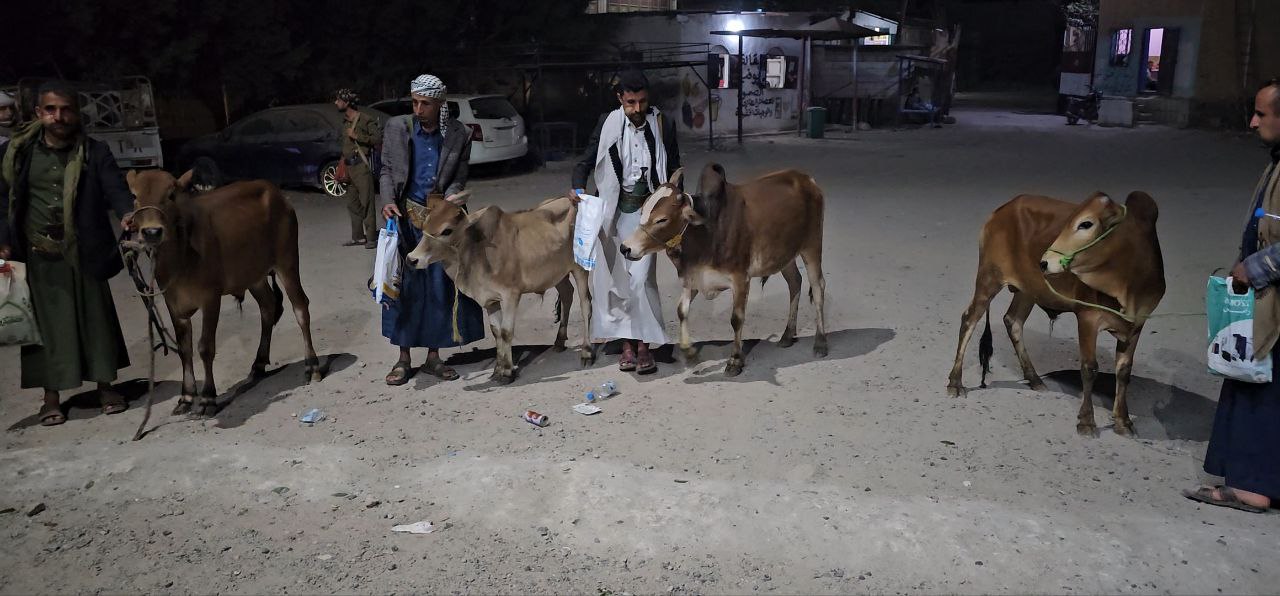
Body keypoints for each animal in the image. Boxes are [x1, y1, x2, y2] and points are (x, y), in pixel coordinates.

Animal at [126, 169, 322, 416]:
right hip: (253, 275)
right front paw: (186, 396)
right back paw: (258, 363)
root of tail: (276, 193)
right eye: (134, 196)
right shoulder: (173, 303)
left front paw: (208, 398)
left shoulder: (211, 298)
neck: (180, 257)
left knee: (300, 308)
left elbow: (205, 347)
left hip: (287, 261)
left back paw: (312, 366)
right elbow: (184, 349)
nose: (152, 231)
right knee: (268, 307)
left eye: (171, 195)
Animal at [404, 192, 593, 383]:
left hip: (580, 268)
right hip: (556, 273)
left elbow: (506, 332)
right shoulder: (490, 300)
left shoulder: (511, 295)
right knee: (567, 295)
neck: (477, 250)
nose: (412, 259)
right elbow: (496, 332)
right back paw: (559, 342)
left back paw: (587, 352)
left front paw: (508, 372)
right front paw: (498, 369)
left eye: (446, 231)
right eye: (425, 225)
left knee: (586, 305)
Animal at [619, 164, 827, 376]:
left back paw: (820, 343)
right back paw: (787, 335)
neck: (707, 232)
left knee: (818, 287)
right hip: (785, 256)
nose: (626, 248)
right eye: (642, 211)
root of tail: (806, 178)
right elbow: (681, 311)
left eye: (661, 220)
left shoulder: (741, 279)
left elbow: (736, 319)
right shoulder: (694, 278)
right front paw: (689, 353)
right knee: (795, 283)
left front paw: (735, 360)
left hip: (812, 246)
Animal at [946, 191, 1165, 436]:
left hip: (1028, 290)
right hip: (989, 278)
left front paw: (1123, 421)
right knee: (969, 319)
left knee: (1013, 321)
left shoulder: (1137, 325)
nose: (1044, 262)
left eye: (1086, 224)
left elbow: (1124, 371)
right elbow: (1089, 368)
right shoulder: (1087, 317)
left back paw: (1033, 378)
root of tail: (1003, 209)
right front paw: (1086, 421)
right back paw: (955, 382)